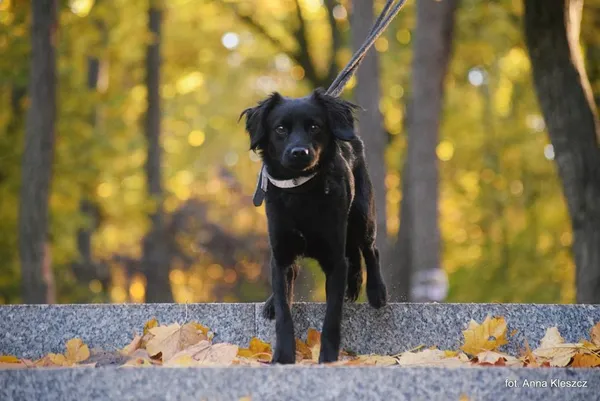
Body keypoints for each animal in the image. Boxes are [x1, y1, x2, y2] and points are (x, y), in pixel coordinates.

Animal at [240, 87, 390, 362]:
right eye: (280, 129)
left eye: (314, 126)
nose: (299, 152)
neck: (300, 191)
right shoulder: (281, 255)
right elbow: (284, 311)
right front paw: (283, 357)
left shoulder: (333, 257)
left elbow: (332, 317)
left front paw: (328, 359)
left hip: (362, 215)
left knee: (369, 249)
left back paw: (376, 291)